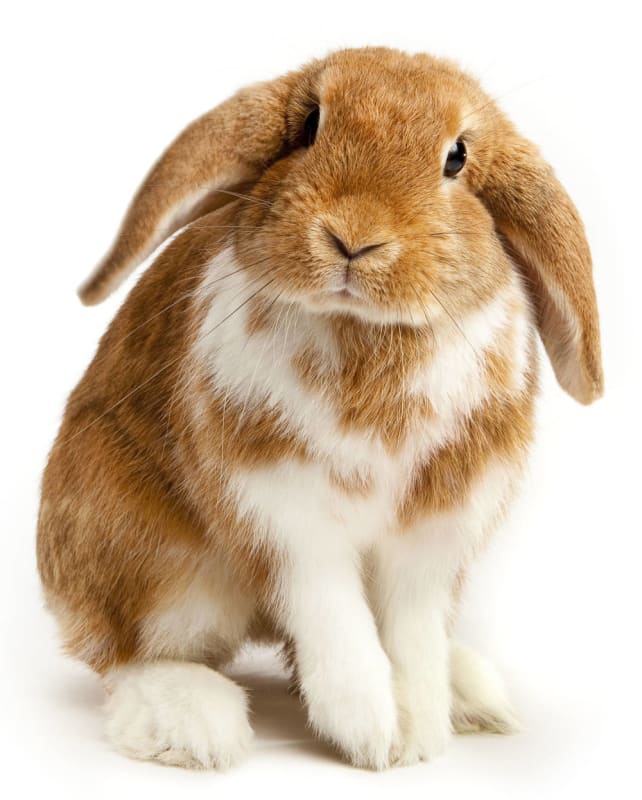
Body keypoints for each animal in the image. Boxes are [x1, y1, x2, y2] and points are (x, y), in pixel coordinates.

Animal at [36, 46, 603, 771]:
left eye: (456, 158)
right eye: (309, 125)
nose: (354, 237)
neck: (363, 329)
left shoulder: (434, 534)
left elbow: (411, 636)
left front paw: (417, 733)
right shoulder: (288, 518)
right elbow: (337, 621)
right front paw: (371, 731)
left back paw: (471, 694)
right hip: (153, 558)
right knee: (129, 653)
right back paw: (193, 724)